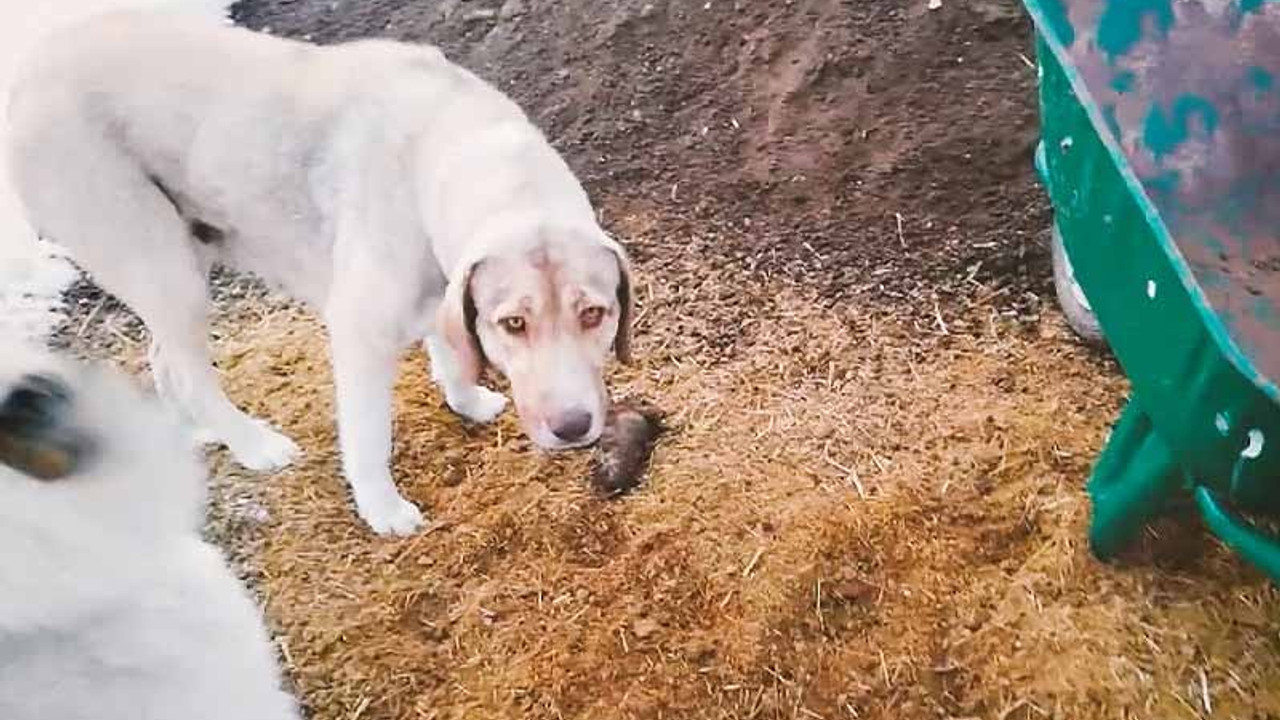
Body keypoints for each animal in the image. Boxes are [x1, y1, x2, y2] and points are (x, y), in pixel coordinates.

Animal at [3, 8, 634, 530]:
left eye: (594, 314)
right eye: (514, 325)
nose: (574, 428)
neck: (451, 155)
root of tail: (26, 71)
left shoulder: (446, 294)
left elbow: (452, 355)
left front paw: (468, 402)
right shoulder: (359, 335)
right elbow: (368, 437)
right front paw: (384, 512)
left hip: (182, 260)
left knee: (164, 360)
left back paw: (201, 432)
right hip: (164, 271)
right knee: (187, 370)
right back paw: (254, 446)